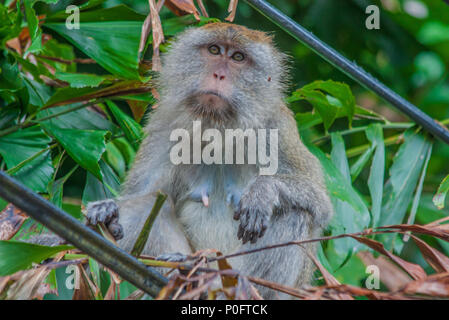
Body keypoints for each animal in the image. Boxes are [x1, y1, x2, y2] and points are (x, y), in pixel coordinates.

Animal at [86, 21, 330, 298]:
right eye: (214, 50)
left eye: (238, 57)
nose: (218, 75)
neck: (218, 126)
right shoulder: (164, 124)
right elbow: (144, 192)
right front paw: (109, 213)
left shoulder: (276, 129)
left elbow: (320, 203)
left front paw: (263, 191)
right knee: (154, 203)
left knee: (294, 212)